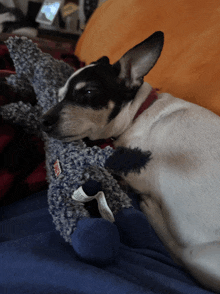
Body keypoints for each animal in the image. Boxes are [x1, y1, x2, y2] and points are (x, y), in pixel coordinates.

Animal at [40, 31, 220, 292]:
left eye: (88, 93)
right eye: (59, 96)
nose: (42, 121)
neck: (139, 113)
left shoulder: (137, 172)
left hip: (198, 254)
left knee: (178, 254)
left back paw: (151, 210)